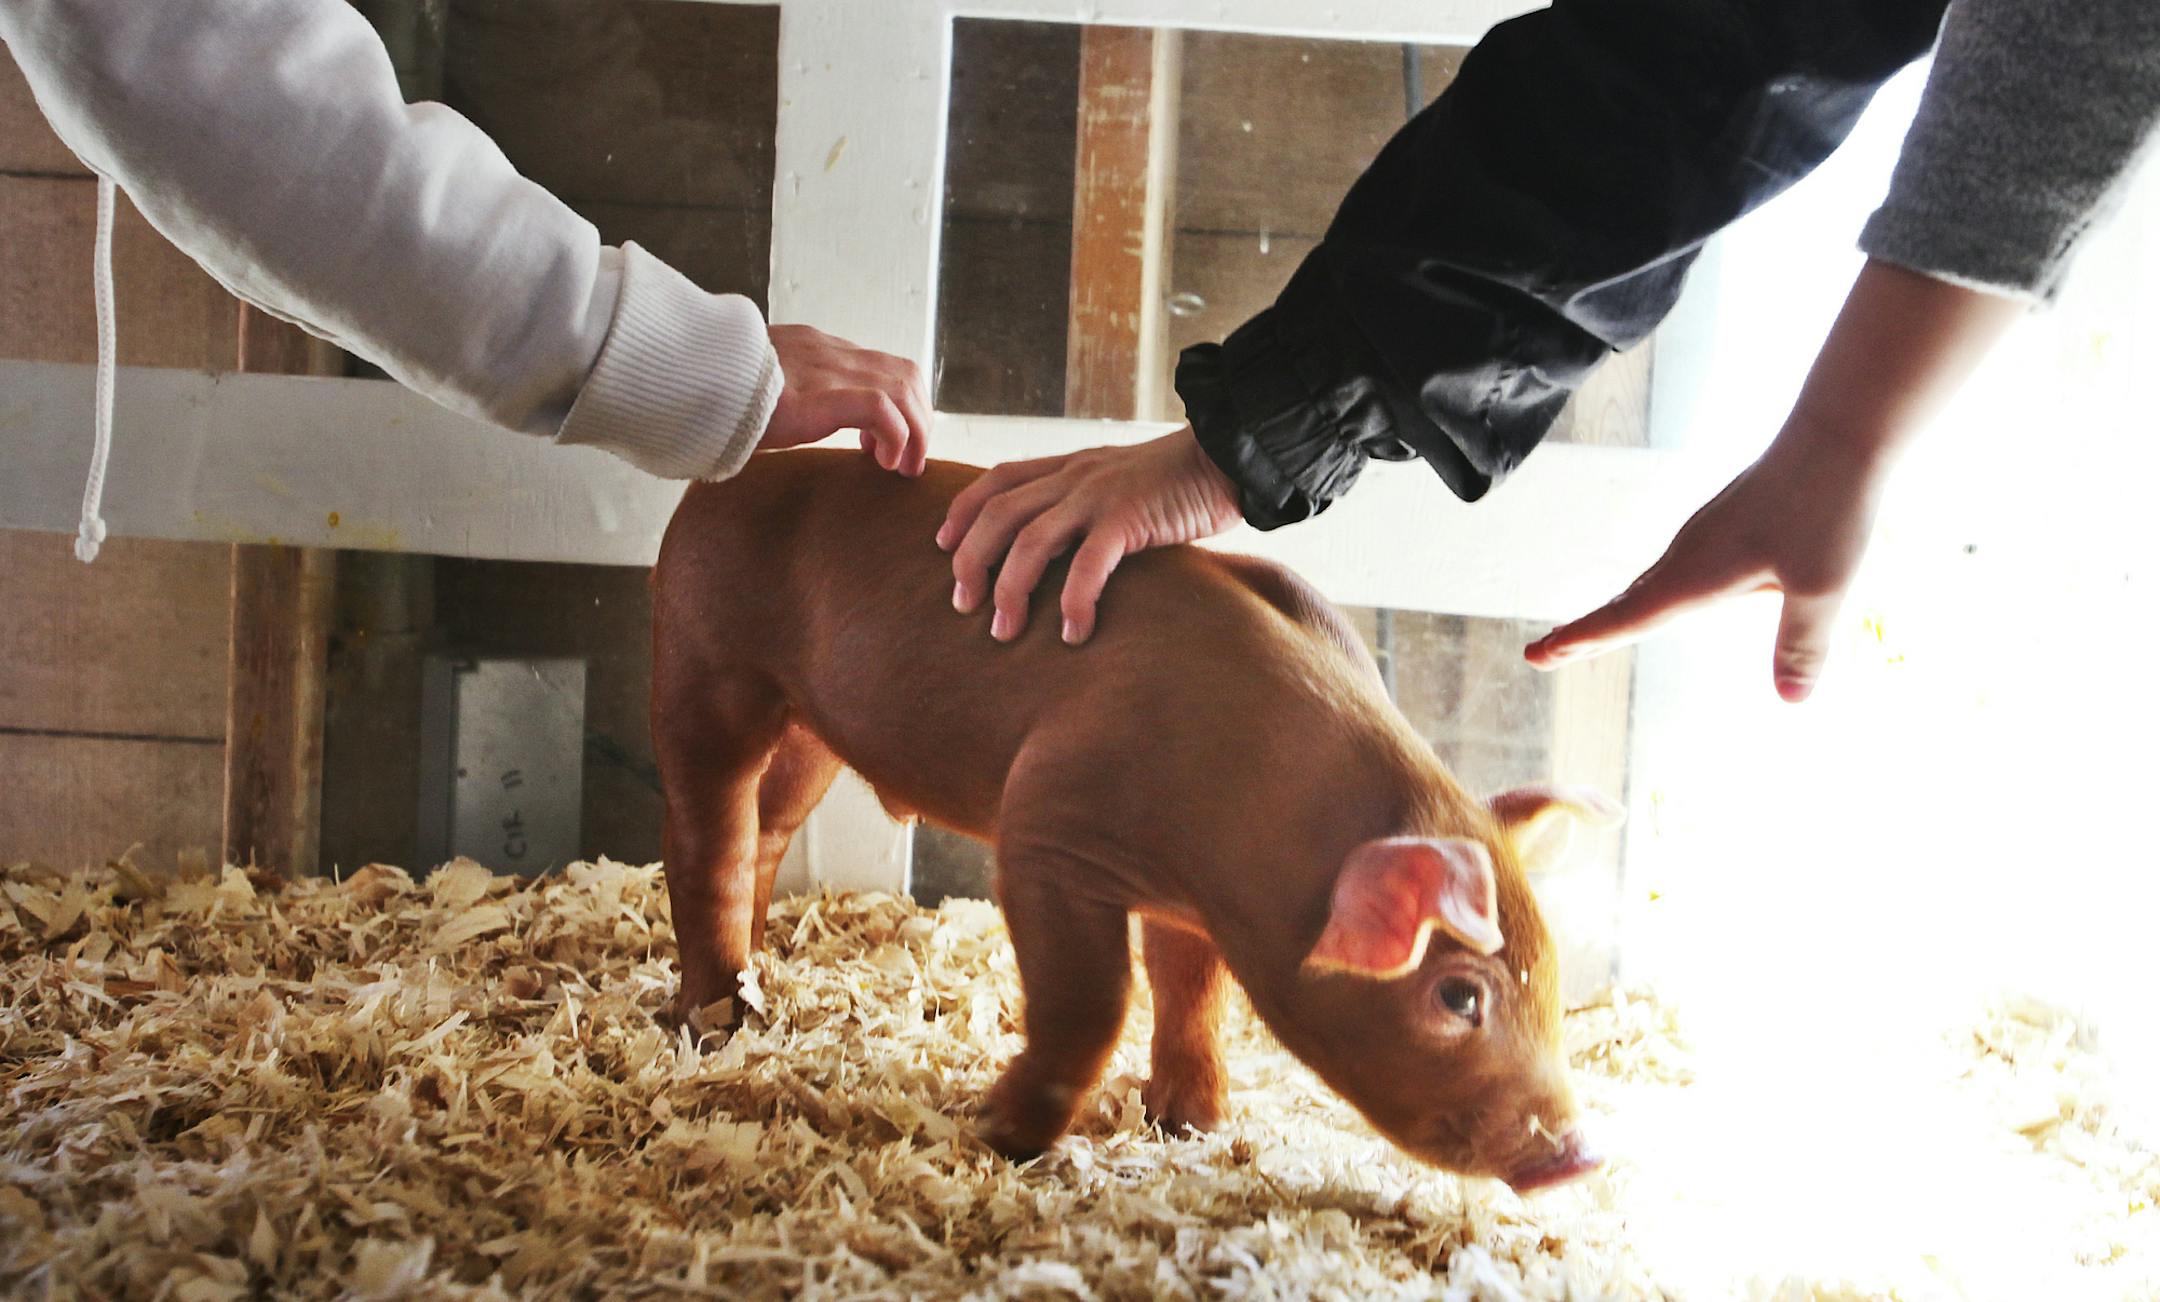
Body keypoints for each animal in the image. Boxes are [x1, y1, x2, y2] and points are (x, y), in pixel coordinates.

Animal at [650, 449, 1620, 1192]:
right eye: (1459, 995)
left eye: (1552, 980)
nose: (1579, 1157)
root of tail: (720, 482)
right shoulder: (1049, 826)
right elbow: (1095, 998)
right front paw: (999, 1131)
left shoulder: (1184, 903)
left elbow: (1191, 997)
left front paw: (1188, 1125)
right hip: (705, 659)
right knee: (708, 835)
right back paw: (714, 1019)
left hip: (811, 731)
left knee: (769, 831)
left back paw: (758, 989)